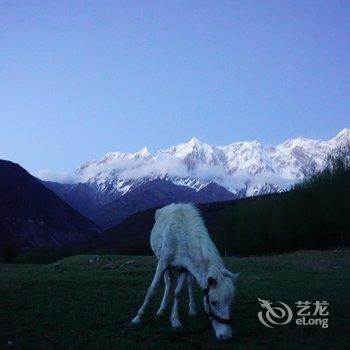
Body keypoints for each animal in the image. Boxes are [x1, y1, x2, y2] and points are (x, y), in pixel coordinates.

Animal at [131, 202, 241, 340]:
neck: (182, 236)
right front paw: (138, 318)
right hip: (162, 261)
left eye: (230, 302)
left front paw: (175, 319)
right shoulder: (162, 263)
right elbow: (152, 290)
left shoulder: (184, 267)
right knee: (168, 282)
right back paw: (161, 310)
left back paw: (191, 309)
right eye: (213, 302)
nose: (226, 336)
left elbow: (178, 292)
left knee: (188, 283)